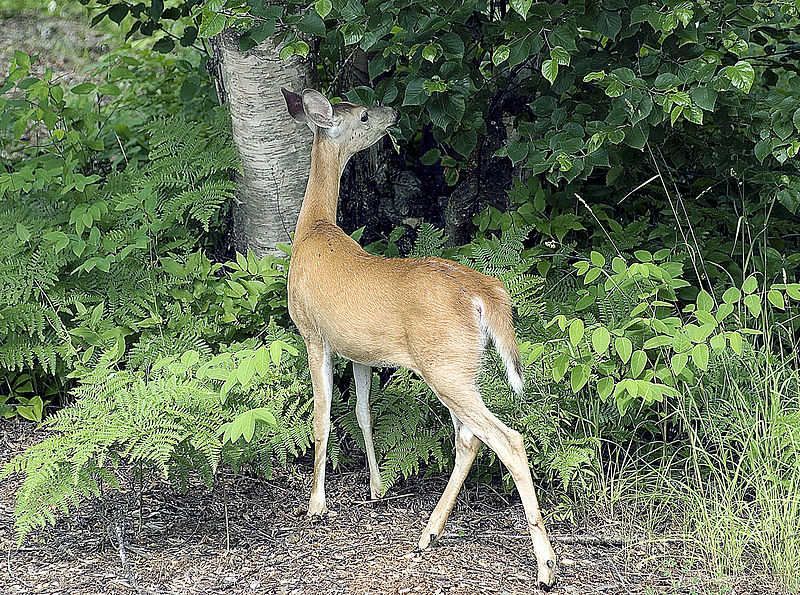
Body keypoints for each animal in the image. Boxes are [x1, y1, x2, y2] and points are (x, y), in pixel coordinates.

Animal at [284, 86, 560, 588]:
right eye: (364, 113)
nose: (393, 112)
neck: (313, 228)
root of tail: (484, 291)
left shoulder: (314, 334)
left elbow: (322, 419)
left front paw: (315, 506)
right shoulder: (360, 352)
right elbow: (363, 413)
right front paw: (376, 488)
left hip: (444, 366)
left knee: (506, 440)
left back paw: (546, 566)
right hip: (461, 367)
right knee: (469, 440)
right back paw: (429, 533)